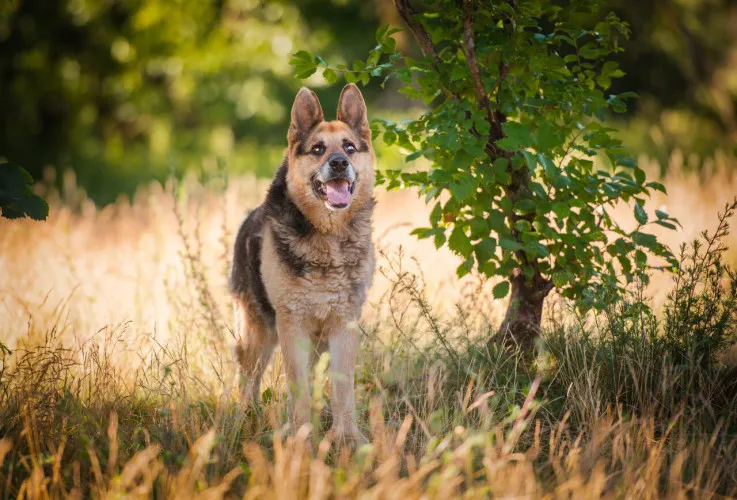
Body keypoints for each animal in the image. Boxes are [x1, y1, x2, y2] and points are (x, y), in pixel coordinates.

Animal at [230, 85, 374, 446]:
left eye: (349, 148)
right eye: (318, 149)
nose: (339, 163)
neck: (327, 238)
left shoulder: (344, 325)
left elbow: (342, 390)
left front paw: (348, 439)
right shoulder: (291, 325)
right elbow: (299, 392)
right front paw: (301, 441)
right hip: (258, 334)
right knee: (248, 379)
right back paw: (247, 419)